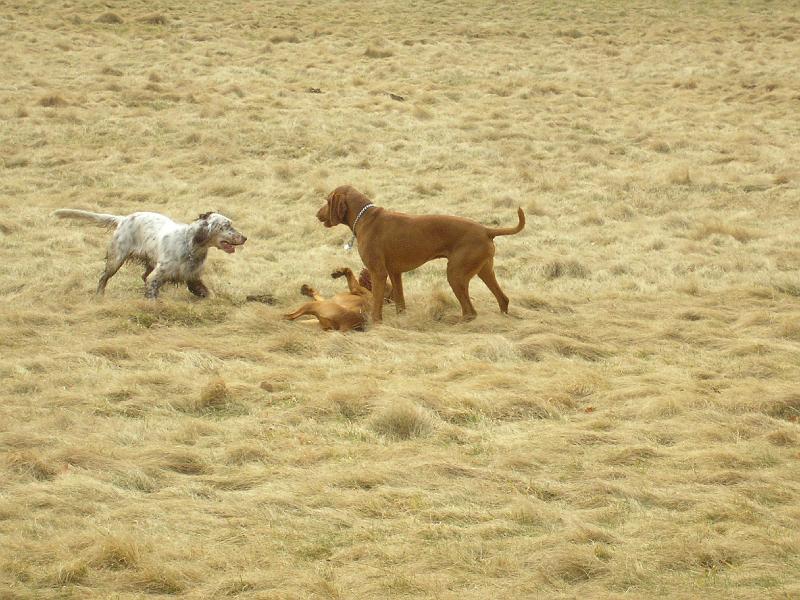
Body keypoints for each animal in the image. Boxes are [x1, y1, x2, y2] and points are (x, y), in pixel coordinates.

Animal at [51, 210, 245, 298]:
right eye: (226, 226)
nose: (245, 237)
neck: (191, 246)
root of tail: (124, 218)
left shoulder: (193, 278)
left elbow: (208, 293)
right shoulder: (159, 274)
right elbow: (152, 292)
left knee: (143, 276)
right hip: (116, 259)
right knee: (103, 278)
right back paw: (99, 296)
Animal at [318, 185, 524, 324]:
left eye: (327, 201)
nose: (316, 214)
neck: (366, 217)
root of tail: (486, 230)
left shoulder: (378, 273)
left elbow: (376, 303)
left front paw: (375, 323)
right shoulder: (395, 273)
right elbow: (400, 302)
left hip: (455, 275)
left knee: (470, 312)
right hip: (484, 271)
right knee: (503, 299)